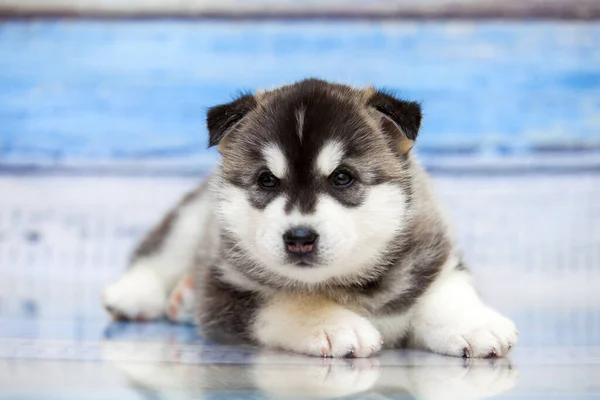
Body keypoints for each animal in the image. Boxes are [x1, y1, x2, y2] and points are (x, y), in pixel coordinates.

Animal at [103, 76, 516, 358]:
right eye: (266, 180)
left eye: (343, 177)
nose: (299, 238)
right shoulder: (226, 290)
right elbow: (284, 302)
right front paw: (333, 324)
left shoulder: (433, 258)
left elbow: (446, 289)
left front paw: (473, 322)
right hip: (195, 218)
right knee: (161, 250)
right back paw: (134, 293)